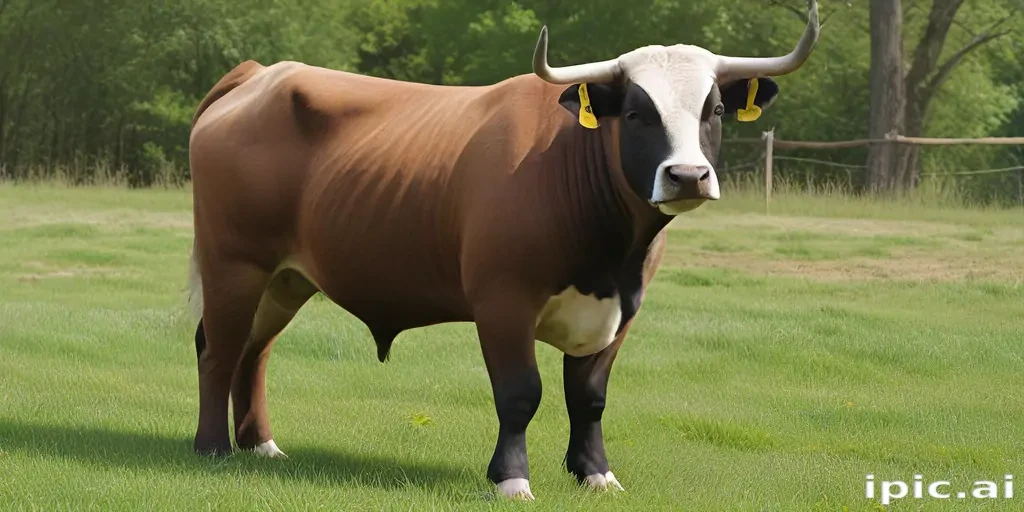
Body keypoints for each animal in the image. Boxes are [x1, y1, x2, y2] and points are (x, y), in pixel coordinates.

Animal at [186, 1, 819, 500]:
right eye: (638, 113)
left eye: (715, 111)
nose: (688, 176)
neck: (611, 253)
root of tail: (262, 74)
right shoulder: (502, 302)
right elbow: (520, 394)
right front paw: (512, 479)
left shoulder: (621, 311)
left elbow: (589, 397)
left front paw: (596, 474)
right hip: (233, 263)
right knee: (219, 348)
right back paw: (213, 447)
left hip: (286, 277)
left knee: (254, 350)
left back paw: (260, 444)